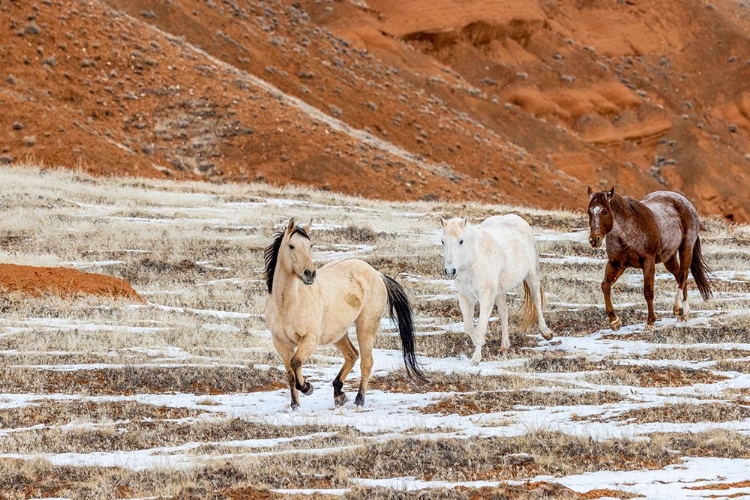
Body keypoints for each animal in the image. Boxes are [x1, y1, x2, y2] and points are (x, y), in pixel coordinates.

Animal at [266, 219, 428, 410]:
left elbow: (296, 362)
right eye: (291, 246)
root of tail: (377, 274)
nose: (309, 274)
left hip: (365, 329)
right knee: (352, 355)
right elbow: (290, 373)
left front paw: (307, 387)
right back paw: (339, 393)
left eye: (310, 245)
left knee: (366, 362)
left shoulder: (310, 340)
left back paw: (359, 400)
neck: (289, 303)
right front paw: (295, 406)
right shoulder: (281, 343)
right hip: (338, 334)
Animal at [440, 215, 552, 364]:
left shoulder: (486, 297)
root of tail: (517, 218)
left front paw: (476, 358)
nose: (450, 271)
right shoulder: (465, 297)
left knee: (537, 301)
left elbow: (480, 327)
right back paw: (504, 345)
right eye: (443, 241)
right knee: (504, 313)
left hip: (532, 275)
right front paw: (481, 342)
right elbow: (468, 326)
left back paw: (546, 333)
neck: (474, 260)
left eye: (461, 241)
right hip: (500, 292)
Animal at [588, 188, 712, 332]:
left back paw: (677, 308)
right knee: (679, 275)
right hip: (669, 257)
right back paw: (684, 314)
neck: (626, 232)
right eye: (589, 212)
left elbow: (648, 291)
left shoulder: (648, 262)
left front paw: (650, 322)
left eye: (605, 211)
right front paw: (614, 321)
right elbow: (605, 286)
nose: (593, 240)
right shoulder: (616, 264)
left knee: (683, 274)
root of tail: (685, 202)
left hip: (686, 248)